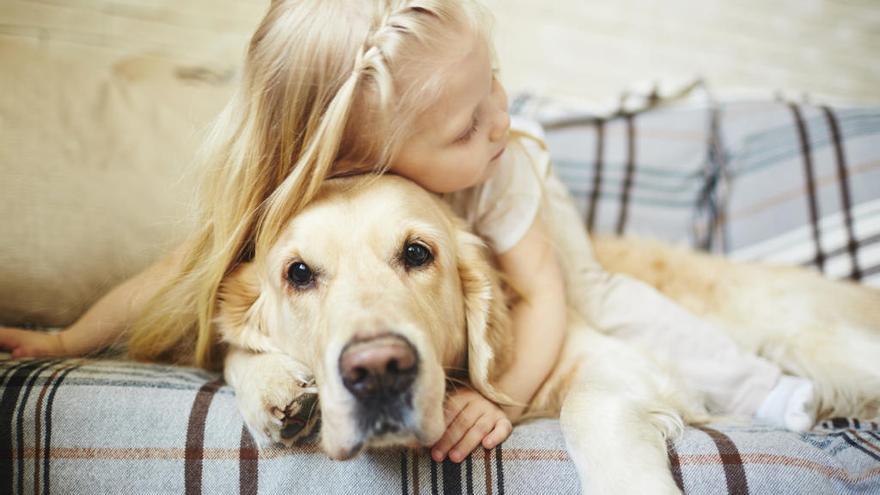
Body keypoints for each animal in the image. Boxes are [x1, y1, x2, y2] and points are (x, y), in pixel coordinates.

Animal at [215, 172, 880, 494]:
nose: (378, 372)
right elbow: (230, 351)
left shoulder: (614, 360)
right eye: (299, 273)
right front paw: (277, 390)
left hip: (810, 341)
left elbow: (587, 411)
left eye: (417, 253)